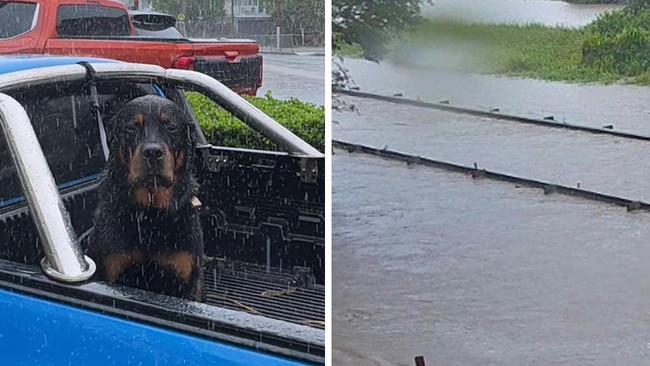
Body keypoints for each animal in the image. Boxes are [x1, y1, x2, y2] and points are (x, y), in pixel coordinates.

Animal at [86, 96, 202, 302]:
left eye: (170, 126)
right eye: (133, 126)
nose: (153, 152)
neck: (151, 214)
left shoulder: (187, 279)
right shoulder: (113, 269)